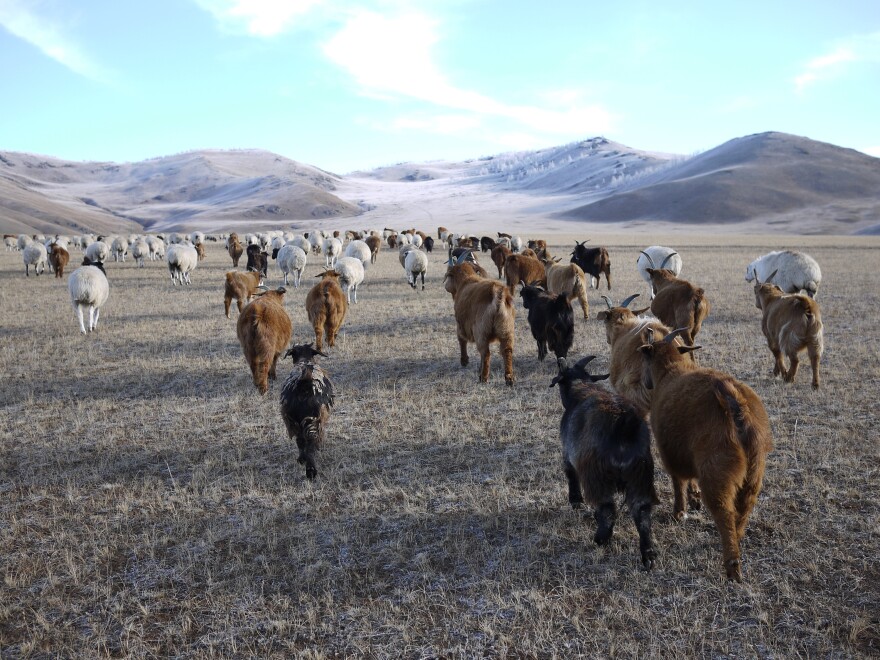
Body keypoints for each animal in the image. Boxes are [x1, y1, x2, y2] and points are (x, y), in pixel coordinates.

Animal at [280, 343, 335, 480]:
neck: (304, 359)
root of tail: (304, 383)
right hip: (314, 420)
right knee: (310, 444)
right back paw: (311, 471)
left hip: (292, 421)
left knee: (300, 441)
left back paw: (302, 459)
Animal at [443, 255, 516, 385]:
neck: (466, 280)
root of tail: (497, 293)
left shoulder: (461, 325)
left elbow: (461, 340)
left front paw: (464, 361)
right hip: (506, 329)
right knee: (507, 350)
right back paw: (509, 379)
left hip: (481, 331)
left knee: (485, 353)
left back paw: (483, 378)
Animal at [550, 355, 658, 569]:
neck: (581, 389)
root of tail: (624, 423)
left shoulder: (568, 454)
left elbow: (571, 476)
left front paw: (575, 501)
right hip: (640, 475)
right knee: (642, 512)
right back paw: (648, 555)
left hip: (597, 475)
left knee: (608, 509)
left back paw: (601, 538)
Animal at [638, 327, 773, 581]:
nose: (644, 382)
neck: (671, 371)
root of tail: (733, 399)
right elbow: (690, 479)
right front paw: (694, 497)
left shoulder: (669, 453)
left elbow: (678, 482)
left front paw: (679, 511)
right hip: (754, 472)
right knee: (745, 505)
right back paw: (738, 537)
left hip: (717, 474)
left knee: (724, 511)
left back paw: (732, 565)